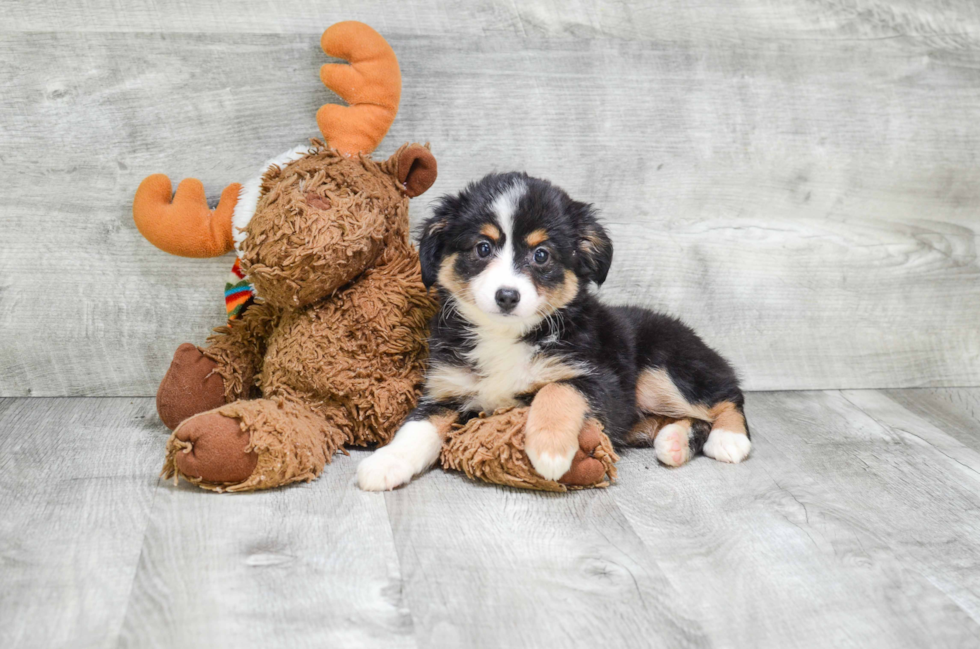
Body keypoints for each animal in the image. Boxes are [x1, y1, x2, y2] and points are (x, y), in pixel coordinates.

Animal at [358, 170, 752, 488]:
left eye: (542, 255)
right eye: (482, 248)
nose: (507, 296)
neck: (504, 337)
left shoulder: (599, 379)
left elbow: (557, 389)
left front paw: (549, 450)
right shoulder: (446, 390)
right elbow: (417, 427)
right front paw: (385, 464)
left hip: (661, 370)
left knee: (726, 396)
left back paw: (729, 439)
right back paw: (673, 441)